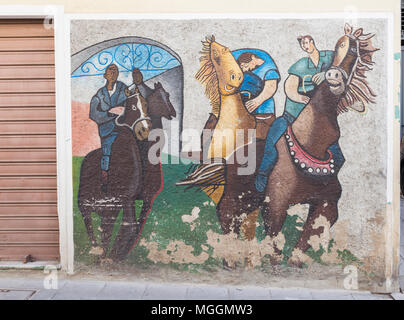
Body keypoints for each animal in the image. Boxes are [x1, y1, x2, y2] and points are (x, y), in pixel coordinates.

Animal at [77, 81, 175, 262]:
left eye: (146, 105)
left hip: (109, 206)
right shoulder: (126, 199)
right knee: (89, 223)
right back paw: (96, 249)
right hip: (85, 202)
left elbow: (136, 226)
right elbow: (128, 226)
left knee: (105, 226)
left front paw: (118, 254)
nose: (145, 130)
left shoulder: (146, 199)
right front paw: (113, 255)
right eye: (133, 107)